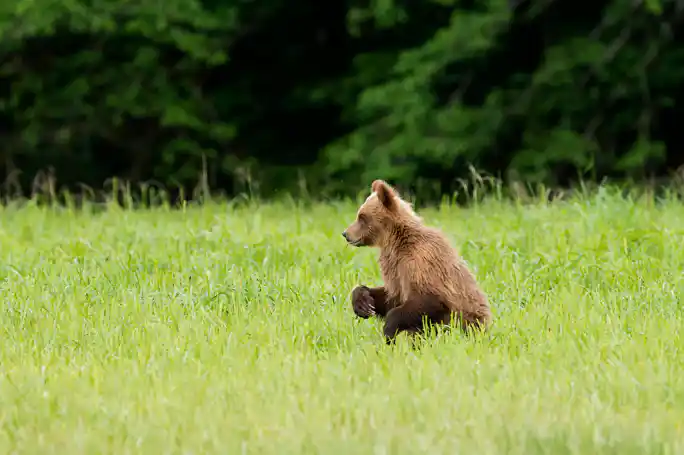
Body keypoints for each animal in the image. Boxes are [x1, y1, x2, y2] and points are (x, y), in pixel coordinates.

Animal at [342, 179, 492, 344]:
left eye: (362, 217)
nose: (346, 234)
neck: (397, 242)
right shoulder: (395, 268)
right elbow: (392, 296)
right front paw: (363, 303)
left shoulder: (421, 261)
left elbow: (430, 298)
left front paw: (389, 331)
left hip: (464, 322)